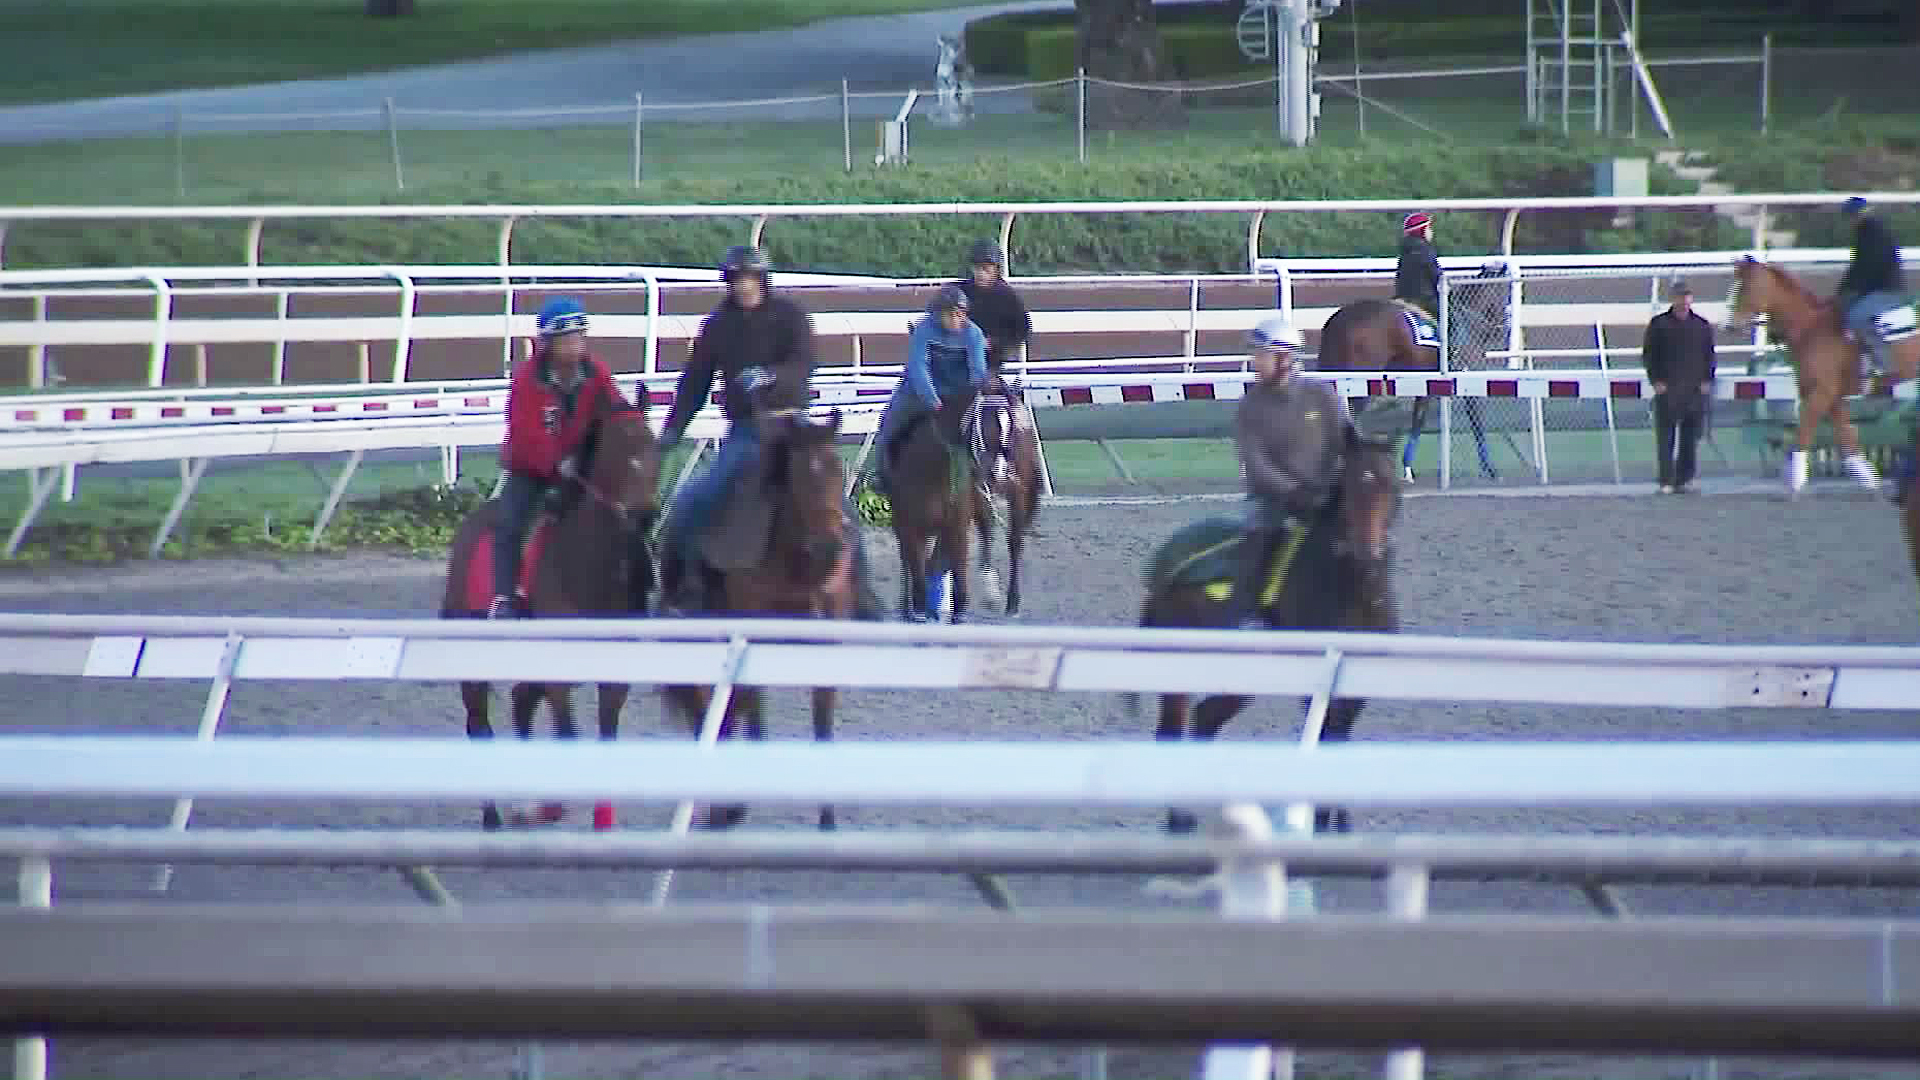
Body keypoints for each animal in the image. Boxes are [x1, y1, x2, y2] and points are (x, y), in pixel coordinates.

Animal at [439, 390, 664, 826]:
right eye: (618, 449)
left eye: (653, 447)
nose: (645, 515)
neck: (587, 568)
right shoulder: (558, 675)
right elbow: (567, 735)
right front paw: (551, 807)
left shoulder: (614, 678)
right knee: (479, 723)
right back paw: (495, 817)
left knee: (521, 700)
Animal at [660, 407, 856, 826]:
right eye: (798, 477)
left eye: (838, 470)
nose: (830, 549)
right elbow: (749, 703)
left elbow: (821, 718)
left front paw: (828, 819)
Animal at [1121, 428, 1405, 834]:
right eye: (1348, 487)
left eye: (1391, 484)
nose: (1367, 553)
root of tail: (1162, 569)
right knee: (1172, 731)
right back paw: (1179, 821)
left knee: (1204, 720)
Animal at [1728, 253, 1920, 495]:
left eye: (1746, 287)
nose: (1730, 325)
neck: (1811, 329)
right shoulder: (1831, 396)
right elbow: (1845, 434)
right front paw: (1868, 479)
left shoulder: (1821, 393)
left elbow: (1805, 429)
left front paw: (1795, 481)